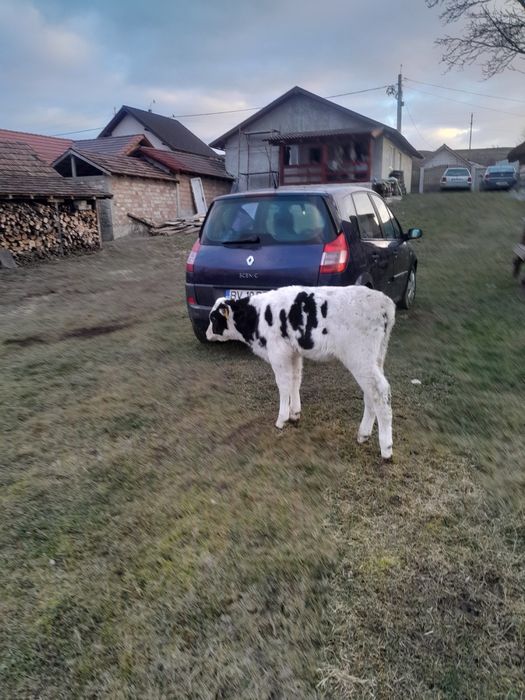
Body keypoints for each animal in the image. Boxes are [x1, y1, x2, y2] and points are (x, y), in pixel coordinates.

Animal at [206, 285, 396, 460]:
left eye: (213, 318)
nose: (207, 334)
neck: (257, 315)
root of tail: (383, 301)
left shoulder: (278, 353)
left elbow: (283, 384)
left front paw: (281, 419)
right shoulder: (294, 352)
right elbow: (295, 380)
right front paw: (294, 414)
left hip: (360, 357)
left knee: (380, 391)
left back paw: (386, 450)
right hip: (376, 358)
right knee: (371, 394)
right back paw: (363, 434)